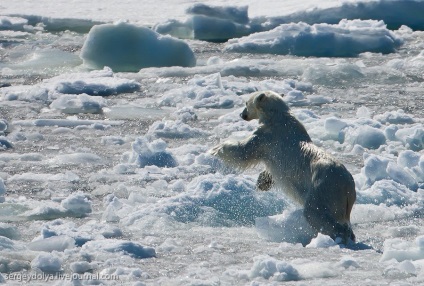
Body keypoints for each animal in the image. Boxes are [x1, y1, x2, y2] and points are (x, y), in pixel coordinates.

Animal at [210, 90, 356, 242]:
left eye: (246, 103)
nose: (242, 114)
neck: (277, 117)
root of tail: (348, 187)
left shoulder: (267, 136)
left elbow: (244, 151)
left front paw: (215, 149)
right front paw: (262, 183)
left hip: (322, 187)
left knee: (315, 212)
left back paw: (338, 236)